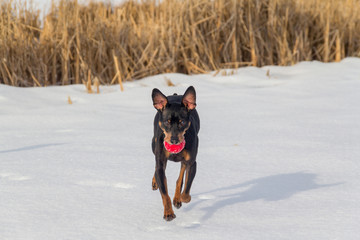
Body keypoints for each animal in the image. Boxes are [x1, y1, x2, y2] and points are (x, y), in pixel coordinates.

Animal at [150, 86, 198, 221]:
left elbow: (186, 187)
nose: (174, 140)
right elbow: (164, 193)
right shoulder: (161, 162)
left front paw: (182, 198)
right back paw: (155, 182)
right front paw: (168, 213)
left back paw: (177, 198)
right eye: (167, 122)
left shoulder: (192, 163)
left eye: (182, 122)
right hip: (154, 145)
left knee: (180, 177)